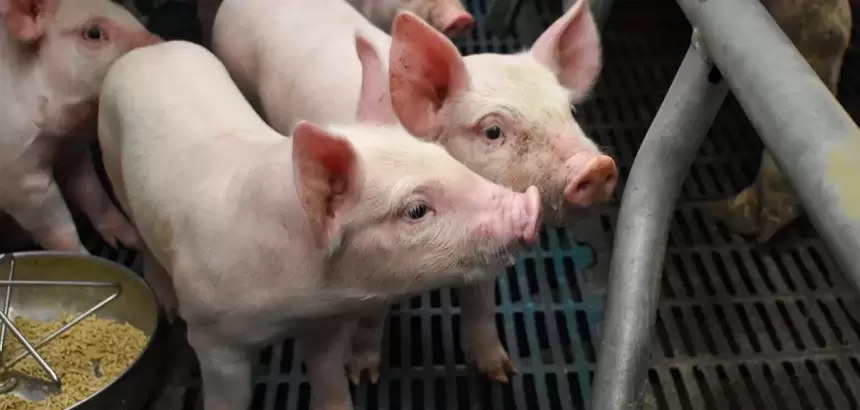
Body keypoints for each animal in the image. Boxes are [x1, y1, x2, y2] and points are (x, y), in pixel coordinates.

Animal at [0, 0, 160, 253]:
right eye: (93, 33)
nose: (162, 43)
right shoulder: (19, 177)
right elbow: (59, 230)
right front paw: (85, 257)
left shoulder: (74, 152)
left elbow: (93, 194)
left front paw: (131, 241)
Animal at [98, 39, 542, 410]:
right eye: (416, 210)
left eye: (445, 157)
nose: (531, 203)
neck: (294, 305)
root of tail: (149, 49)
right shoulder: (212, 338)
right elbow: (227, 395)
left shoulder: (326, 327)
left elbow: (330, 380)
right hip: (111, 156)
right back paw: (167, 304)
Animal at [213, 0, 615, 384]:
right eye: (493, 131)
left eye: (570, 111)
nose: (597, 167)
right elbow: (371, 320)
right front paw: (363, 376)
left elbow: (482, 306)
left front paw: (502, 372)